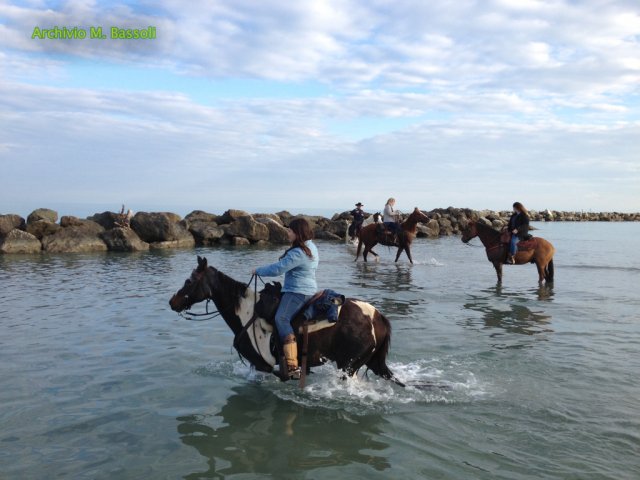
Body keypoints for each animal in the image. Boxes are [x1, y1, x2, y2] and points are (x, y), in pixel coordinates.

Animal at [169, 256, 404, 386]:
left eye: (189, 281)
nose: (173, 302)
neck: (247, 311)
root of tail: (377, 317)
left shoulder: (261, 365)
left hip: (348, 367)